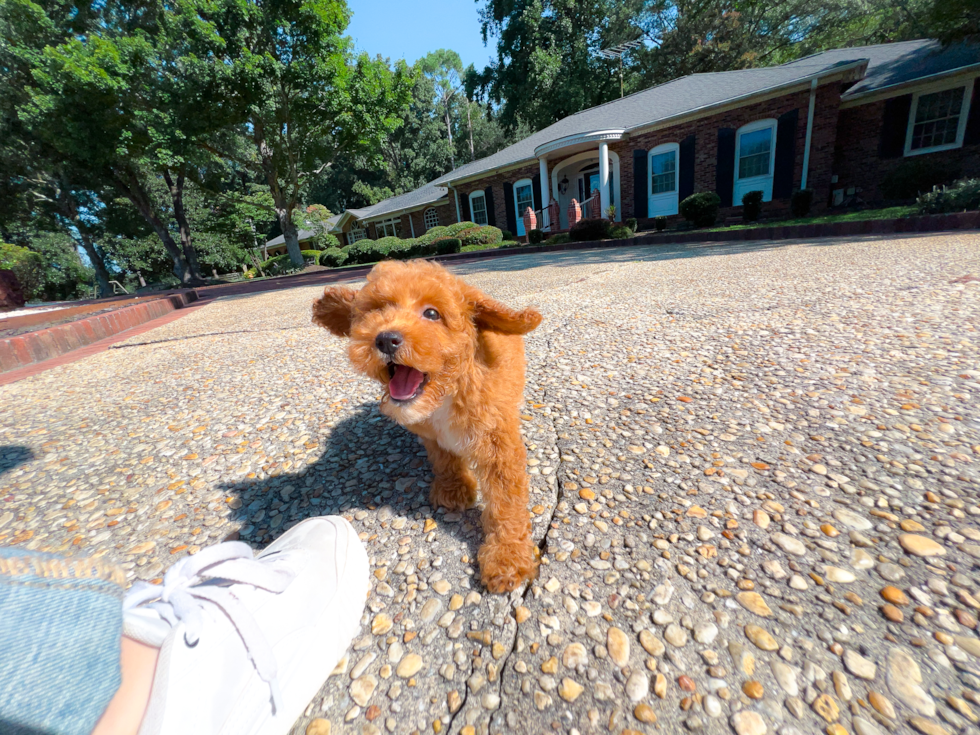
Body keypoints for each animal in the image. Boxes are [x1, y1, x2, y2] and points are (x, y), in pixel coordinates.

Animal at [312, 258, 544, 592]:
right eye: (377, 310)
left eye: (432, 314)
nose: (385, 338)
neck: (448, 391)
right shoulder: (431, 435)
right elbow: (444, 459)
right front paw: (453, 489)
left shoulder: (499, 444)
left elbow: (505, 500)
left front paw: (507, 556)